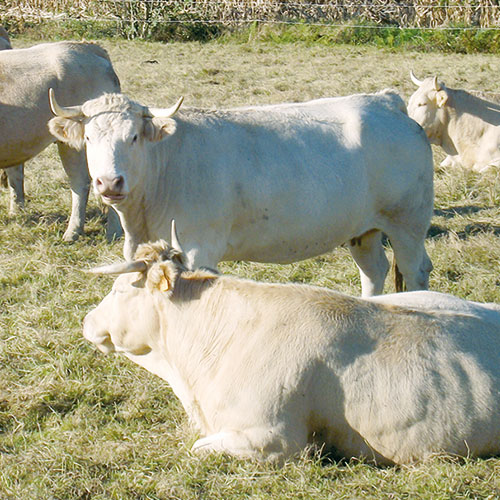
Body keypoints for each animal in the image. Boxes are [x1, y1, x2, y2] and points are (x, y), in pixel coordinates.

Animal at [48, 90, 436, 296]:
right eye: (88, 138)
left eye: (133, 137)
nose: (109, 182)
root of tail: (384, 101)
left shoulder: (198, 249)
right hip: (363, 229)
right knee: (374, 270)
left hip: (408, 224)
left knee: (415, 270)